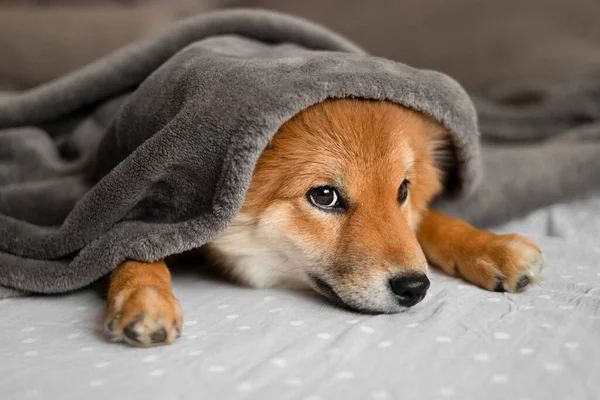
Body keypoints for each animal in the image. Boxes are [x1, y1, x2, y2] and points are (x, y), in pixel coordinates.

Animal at [102, 97, 544, 346]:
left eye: (402, 190)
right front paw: (145, 297)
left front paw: (492, 247)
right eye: (324, 196)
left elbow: (432, 221)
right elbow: (130, 248)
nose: (415, 288)